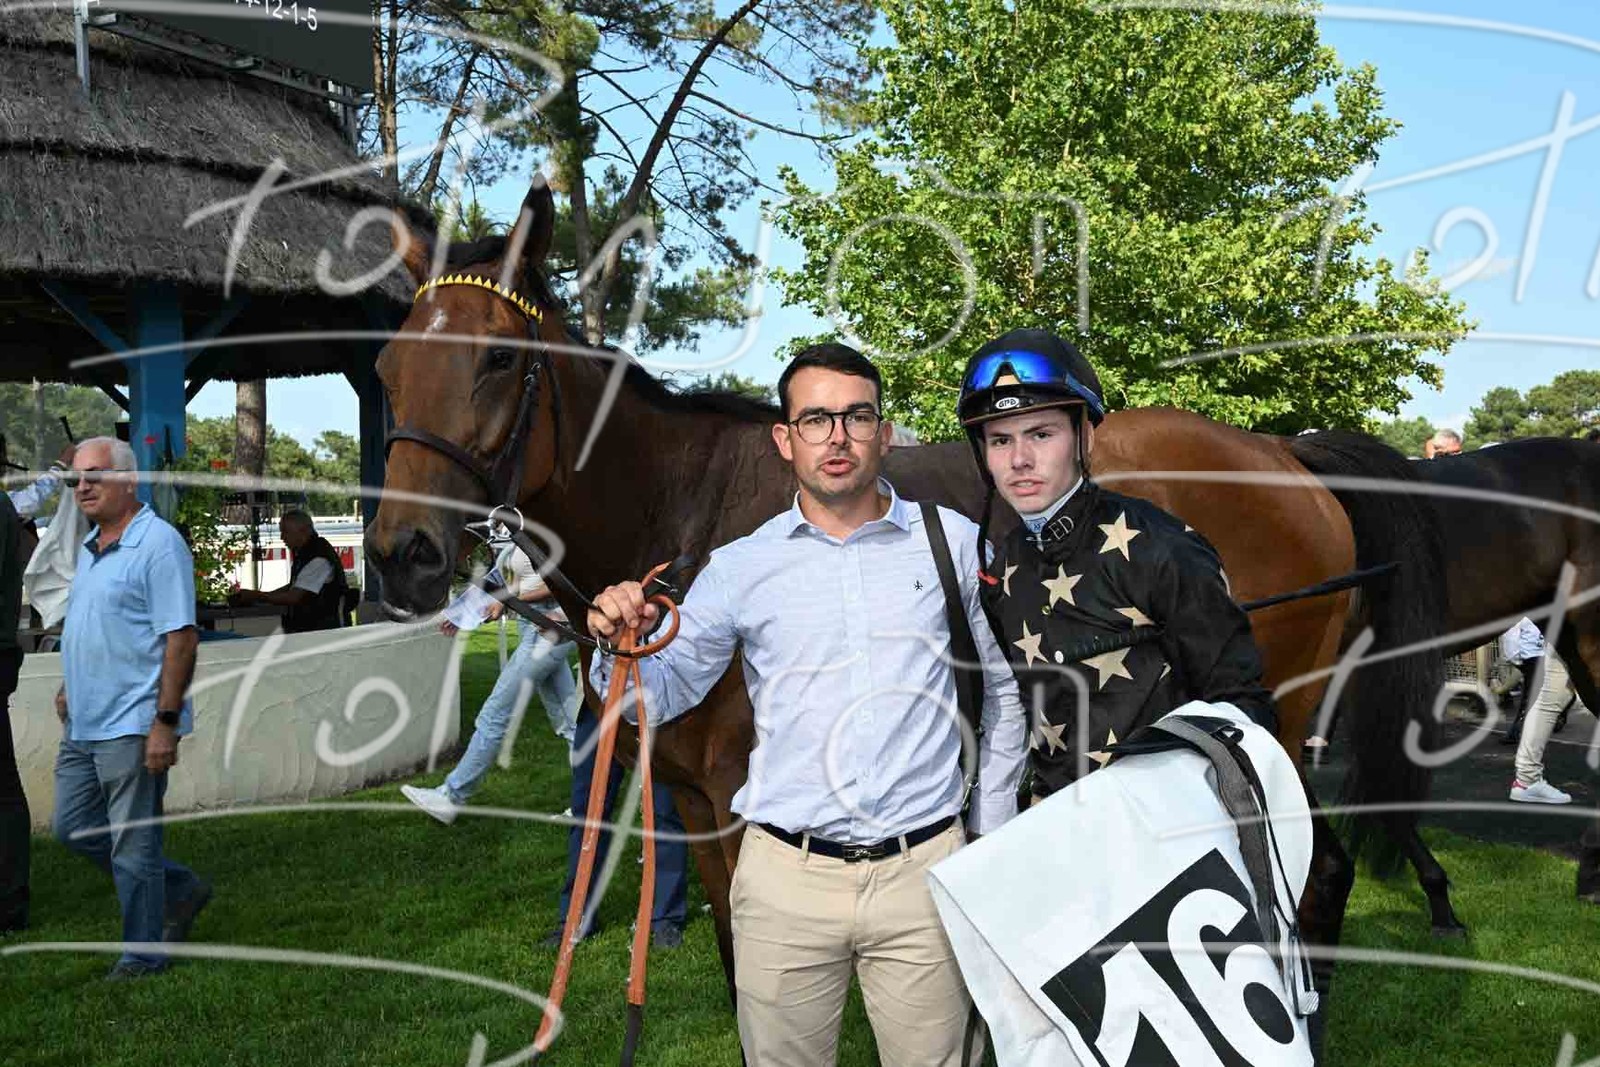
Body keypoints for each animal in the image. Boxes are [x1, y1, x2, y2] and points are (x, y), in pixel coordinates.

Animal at [363, 182, 1453, 1032]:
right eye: (386, 367)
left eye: (499, 359)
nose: (401, 556)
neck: (689, 511)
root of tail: (1288, 455)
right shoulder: (702, 810)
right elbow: (740, 967)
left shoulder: (740, 807)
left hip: (1270, 715)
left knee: (1311, 874)